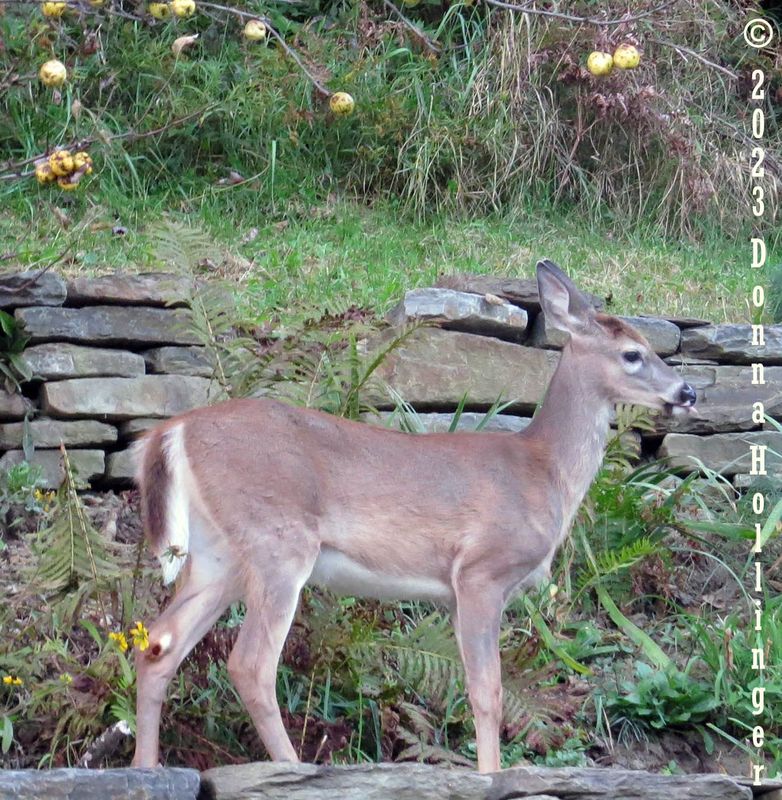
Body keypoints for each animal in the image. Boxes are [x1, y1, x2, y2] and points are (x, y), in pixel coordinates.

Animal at [130, 260, 696, 774]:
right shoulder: (481, 571)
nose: (687, 392)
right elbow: (487, 692)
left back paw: (146, 767)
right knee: (249, 665)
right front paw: (490, 775)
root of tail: (172, 431)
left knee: (158, 644)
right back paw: (291, 768)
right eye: (633, 354)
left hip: (219, 552)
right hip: (278, 540)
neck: (544, 471)